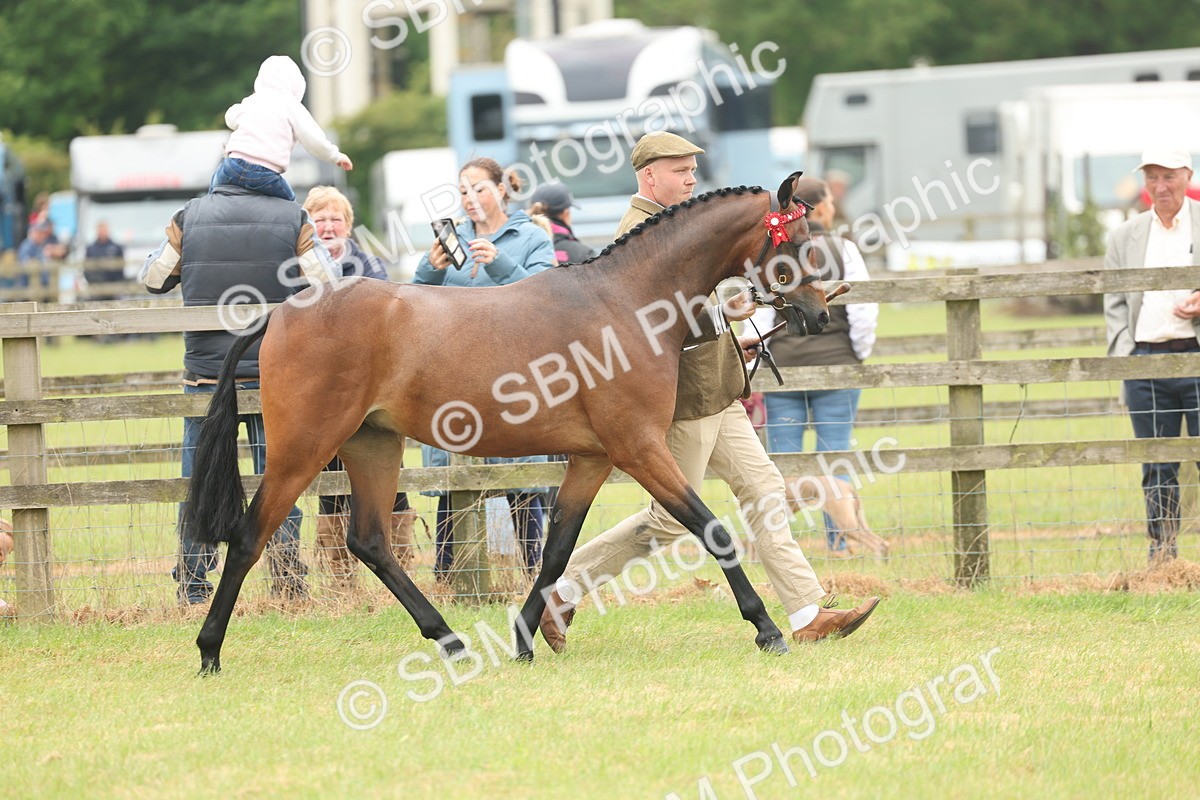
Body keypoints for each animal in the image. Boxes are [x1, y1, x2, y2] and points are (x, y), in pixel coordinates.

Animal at [184, 172, 844, 673]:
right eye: (795, 239)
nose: (820, 313)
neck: (625, 301)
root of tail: (280, 315)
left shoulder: (593, 457)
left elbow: (555, 552)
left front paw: (527, 640)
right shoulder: (638, 449)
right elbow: (712, 530)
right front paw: (767, 629)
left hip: (374, 445)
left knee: (369, 541)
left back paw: (450, 641)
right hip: (304, 446)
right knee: (249, 537)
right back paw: (209, 651)